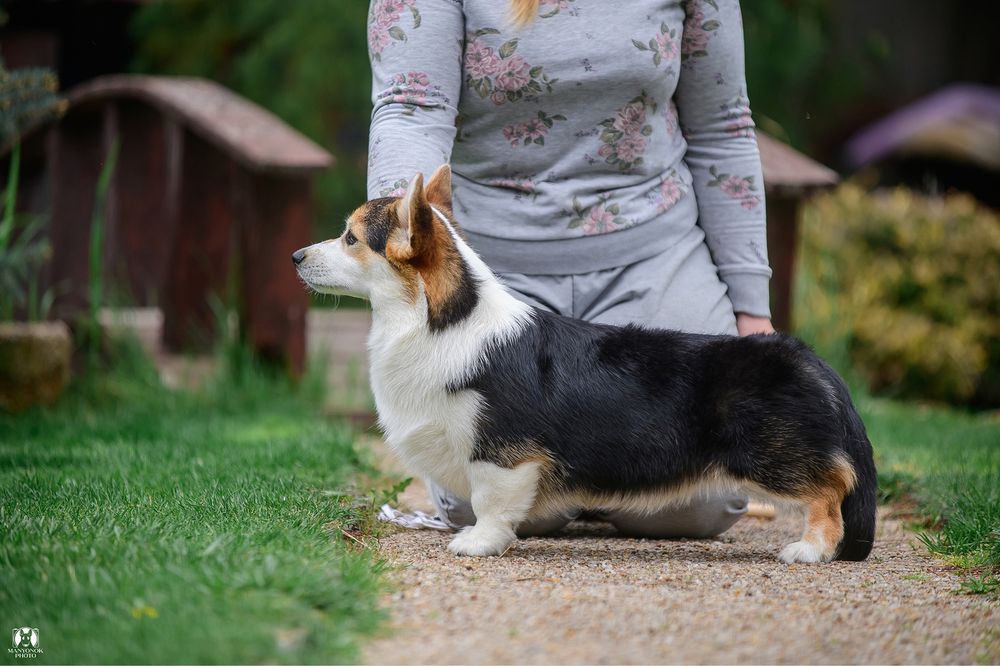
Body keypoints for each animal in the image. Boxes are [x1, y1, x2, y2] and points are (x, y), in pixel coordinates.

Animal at [294, 165, 876, 560]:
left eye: (350, 238)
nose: (296, 256)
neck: (440, 319)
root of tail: (807, 357)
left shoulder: (500, 451)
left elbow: (490, 501)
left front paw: (478, 543)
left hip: (768, 453)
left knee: (831, 489)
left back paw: (812, 549)